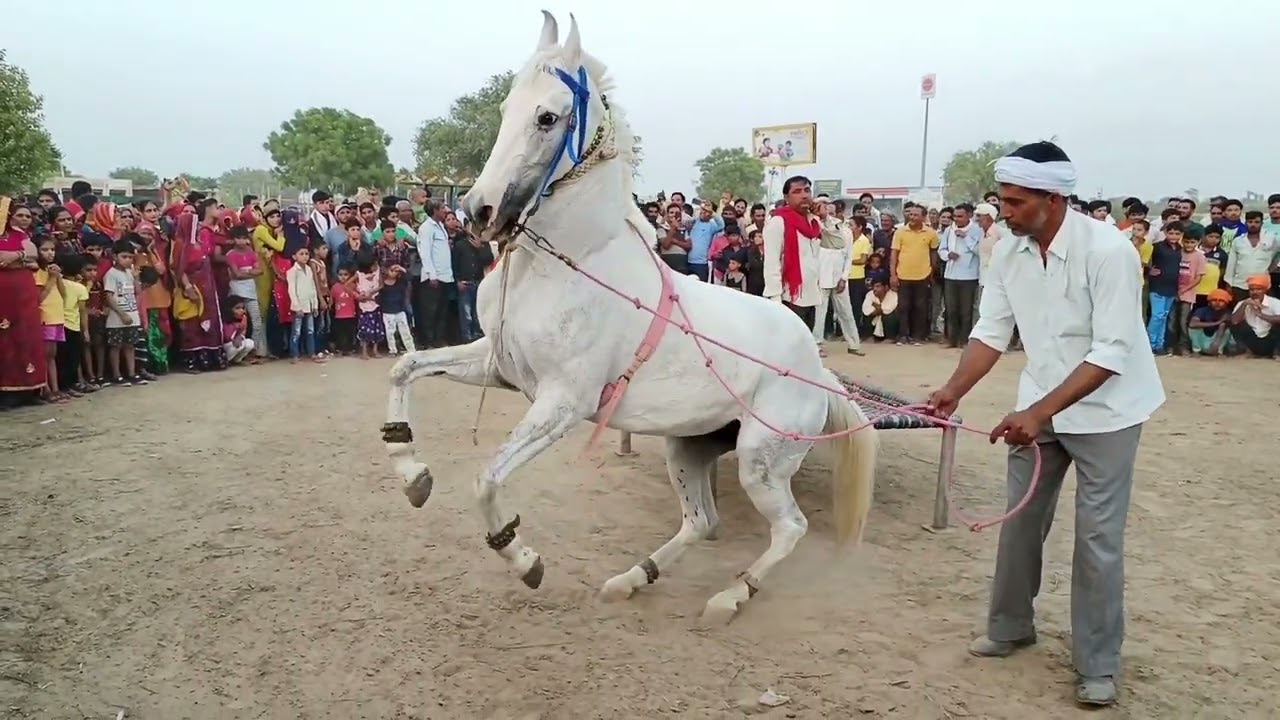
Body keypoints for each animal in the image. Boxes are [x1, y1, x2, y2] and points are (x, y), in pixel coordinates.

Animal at [381, 11, 879, 624]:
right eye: (504, 108)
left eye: (547, 117)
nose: (478, 211)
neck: (567, 264)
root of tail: (818, 369)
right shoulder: (496, 366)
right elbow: (405, 367)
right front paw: (412, 473)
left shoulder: (563, 402)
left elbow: (486, 479)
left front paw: (525, 561)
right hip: (688, 447)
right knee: (701, 521)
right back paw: (629, 580)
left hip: (760, 461)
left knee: (789, 528)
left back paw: (726, 599)